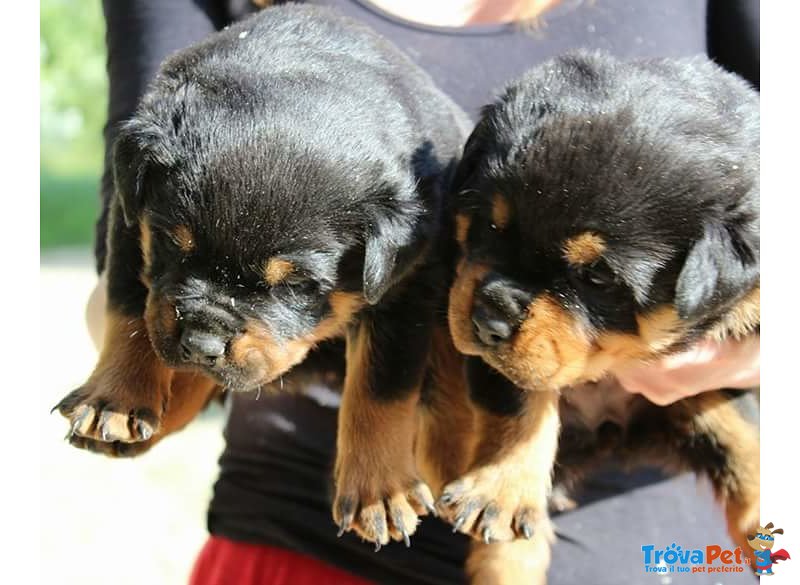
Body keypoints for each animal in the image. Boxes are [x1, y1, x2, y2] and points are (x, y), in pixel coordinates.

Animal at [54, 4, 468, 548]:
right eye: (171, 244)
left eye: (296, 286)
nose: (202, 344)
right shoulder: (130, 220)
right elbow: (129, 314)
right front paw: (116, 401)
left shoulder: (409, 286)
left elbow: (382, 388)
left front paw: (379, 488)